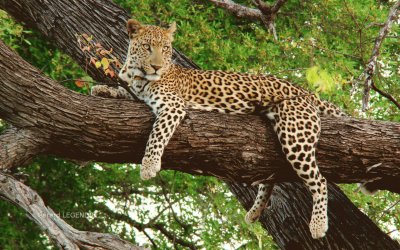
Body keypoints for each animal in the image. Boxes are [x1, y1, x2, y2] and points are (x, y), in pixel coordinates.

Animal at [91, 19, 346, 238]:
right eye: (147, 47)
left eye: (165, 48)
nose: (156, 66)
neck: (137, 75)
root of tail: (305, 91)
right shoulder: (137, 95)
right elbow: (123, 92)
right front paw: (102, 89)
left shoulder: (173, 106)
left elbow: (157, 134)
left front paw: (149, 165)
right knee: (271, 176)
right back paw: (255, 212)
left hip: (295, 134)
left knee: (320, 181)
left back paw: (318, 224)